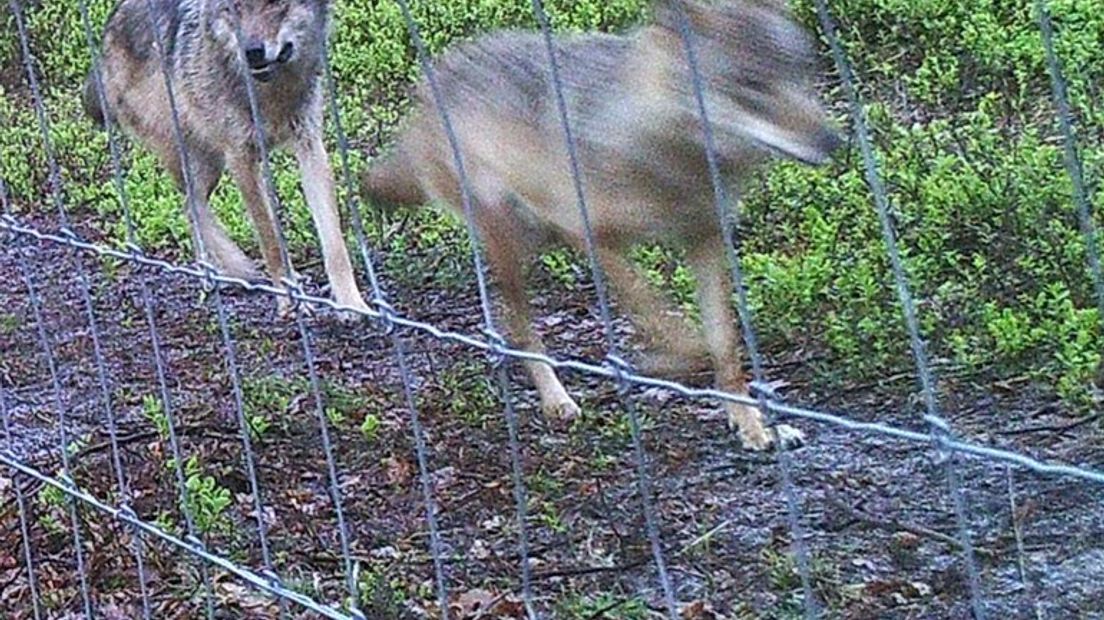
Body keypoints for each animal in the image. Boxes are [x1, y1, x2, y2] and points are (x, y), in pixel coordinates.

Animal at [82, 0, 366, 315]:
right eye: (235, 8)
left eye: (276, 5)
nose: (251, 51)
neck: (272, 94)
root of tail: (106, 37)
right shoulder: (240, 158)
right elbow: (270, 239)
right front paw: (288, 299)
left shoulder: (311, 147)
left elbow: (334, 242)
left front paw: (352, 303)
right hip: (194, 158)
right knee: (191, 205)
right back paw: (234, 266)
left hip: (211, 166)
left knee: (190, 207)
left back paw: (214, 273)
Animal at [357, 0, 839, 447]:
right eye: (751, 86)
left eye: (801, 71)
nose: (832, 140)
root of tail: (428, 85)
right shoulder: (584, 232)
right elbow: (666, 319)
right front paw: (665, 361)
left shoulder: (705, 237)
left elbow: (724, 346)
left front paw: (754, 426)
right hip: (512, 244)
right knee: (522, 331)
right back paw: (558, 401)